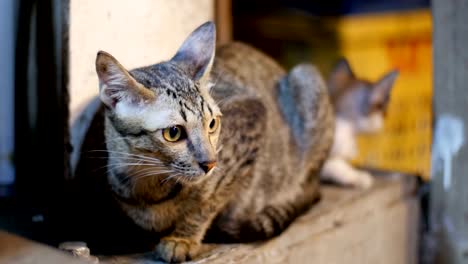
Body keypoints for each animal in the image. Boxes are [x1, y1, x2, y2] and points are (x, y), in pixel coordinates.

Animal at [71, 21, 334, 262]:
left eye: (212, 124)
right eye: (173, 133)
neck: (148, 186)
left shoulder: (252, 122)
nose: (211, 163)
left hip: (306, 79)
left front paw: (183, 238)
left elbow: (208, 202)